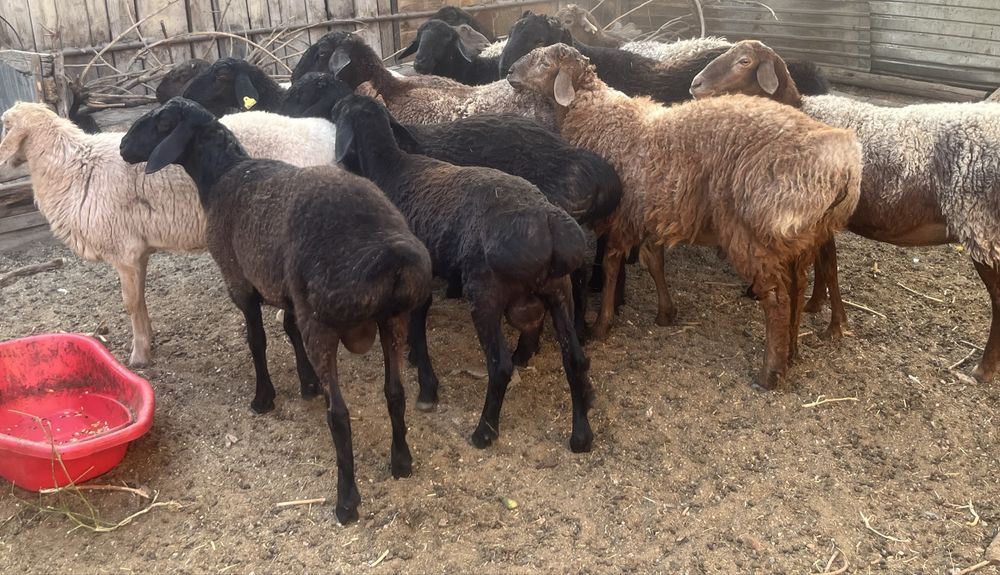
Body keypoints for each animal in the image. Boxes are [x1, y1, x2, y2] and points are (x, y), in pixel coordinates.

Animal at [0, 102, 337, 367]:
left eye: (4, 124)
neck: (75, 168)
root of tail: (325, 134)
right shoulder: (138, 251)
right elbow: (141, 300)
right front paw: (147, 339)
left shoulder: (123, 251)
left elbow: (130, 303)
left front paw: (139, 356)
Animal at [119, 97, 432, 525]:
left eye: (163, 121)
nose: (122, 146)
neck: (223, 175)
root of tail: (390, 256)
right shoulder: (284, 291)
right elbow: (289, 331)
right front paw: (306, 383)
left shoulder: (240, 283)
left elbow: (257, 340)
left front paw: (263, 398)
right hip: (391, 321)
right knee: (395, 392)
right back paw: (401, 462)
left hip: (324, 321)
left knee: (339, 414)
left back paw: (346, 501)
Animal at [331, 93, 595, 452]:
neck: (391, 169)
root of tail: (548, 223)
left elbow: (418, 325)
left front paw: (427, 387)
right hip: (559, 291)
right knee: (575, 358)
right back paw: (581, 435)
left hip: (485, 292)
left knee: (500, 366)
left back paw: (484, 431)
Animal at [507, 44, 861, 389]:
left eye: (543, 62)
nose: (509, 72)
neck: (595, 111)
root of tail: (842, 167)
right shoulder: (652, 211)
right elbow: (654, 261)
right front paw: (666, 313)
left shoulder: (622, 216)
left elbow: (610, 266)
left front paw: (602, 324)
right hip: (801, 237)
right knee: (798, 288)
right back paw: (792, 353)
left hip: (753, 231)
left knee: (776, 298)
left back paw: (769, 374)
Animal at [691, 39, 1000, 383]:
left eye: (744, 61)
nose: (695, 85)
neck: (802, 110)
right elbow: (826, 265)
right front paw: (818, 307)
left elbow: (828, 267)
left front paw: (833, 325)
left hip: (980, 226)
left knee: (998, 299)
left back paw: (984, 369)